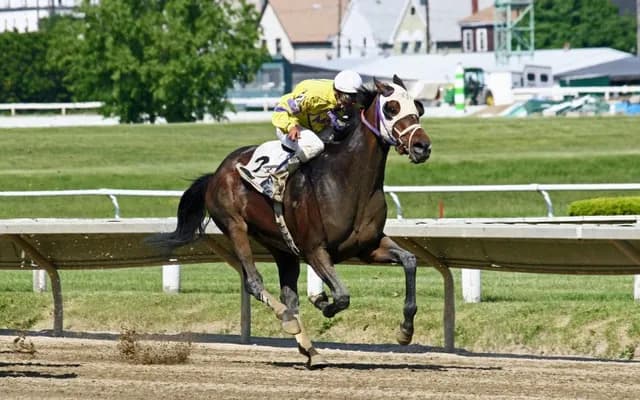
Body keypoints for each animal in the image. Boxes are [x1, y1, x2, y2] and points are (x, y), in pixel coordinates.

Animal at [151, 75, 432, 368]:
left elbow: (410, 261)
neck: (348, 181)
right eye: (391, 108)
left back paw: (311, 351)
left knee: (289, 296)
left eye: (418, 107)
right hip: (234, 225)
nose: (422, 146)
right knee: (254, 283)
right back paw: (288, 322)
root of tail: (216, 173)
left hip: (282, 247)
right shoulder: (314, 250)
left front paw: (405, 331)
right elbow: (342, 296)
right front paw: (322, 302)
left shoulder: (368, 246)